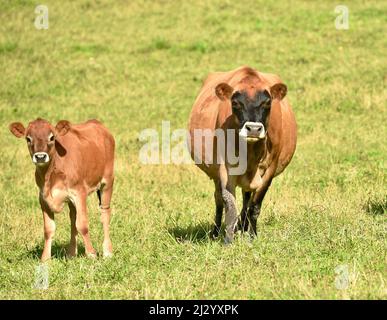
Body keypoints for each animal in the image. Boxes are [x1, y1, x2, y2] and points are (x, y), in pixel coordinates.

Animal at [9, 117, 115, 260]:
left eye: (52, 137)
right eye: (28, 138)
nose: (40, 156)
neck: (50, 176)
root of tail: (96, 123)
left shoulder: (79, 193)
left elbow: (83, 225)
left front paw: (91, 254)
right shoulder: (43, 198)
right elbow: (48, 229)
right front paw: (45, 258)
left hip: (107, 181)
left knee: (105, 213)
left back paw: (107, 252)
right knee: (73, 218)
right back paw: (71, 253)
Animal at [189, 66, 298, 244]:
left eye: (267, 103)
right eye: (235, 103)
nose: (253, 129)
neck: (251, 153)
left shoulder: (270, 169)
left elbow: (254, 206)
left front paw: (253, 237)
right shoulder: (225, 168)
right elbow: (229, 204)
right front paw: (228, 241)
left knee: (246, 199)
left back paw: (243, 227)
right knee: (218, 200)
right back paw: (216, 232)